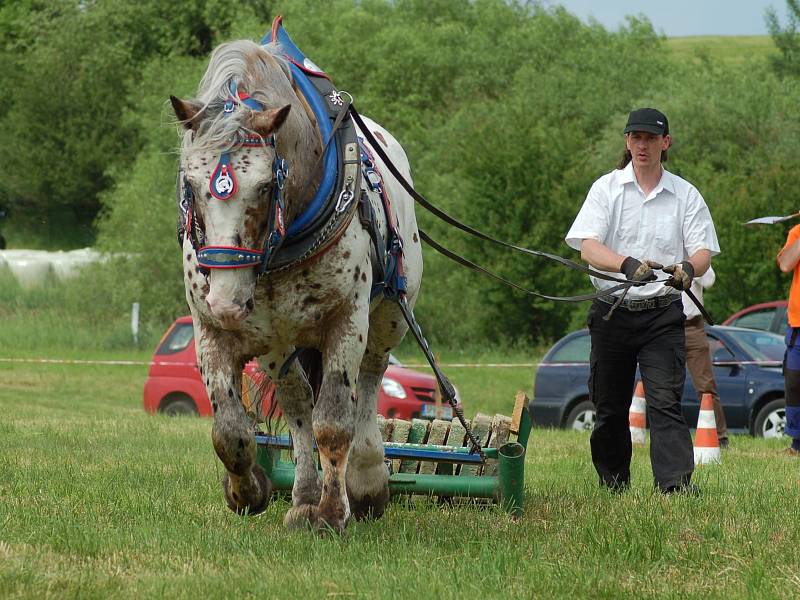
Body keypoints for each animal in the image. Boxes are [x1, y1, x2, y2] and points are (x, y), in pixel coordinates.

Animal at [171, 32, 424, 532]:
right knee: (297, 403)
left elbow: (335, 422)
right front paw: (248, 490)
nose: (228, 301)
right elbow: (230, 431)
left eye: (266, 186)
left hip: (386, 320)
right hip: (278, 344)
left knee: (368, 384)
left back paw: (365, 481)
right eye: (190, 183)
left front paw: (333, 511)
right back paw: (304, 496)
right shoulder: (211, 331)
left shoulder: (347, 322)